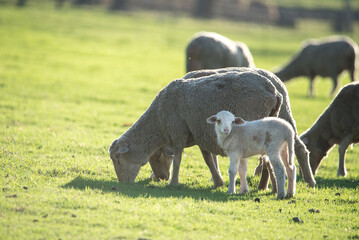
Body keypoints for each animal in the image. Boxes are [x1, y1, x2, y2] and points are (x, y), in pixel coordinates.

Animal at [108, 70, 282, 187]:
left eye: (118, 158)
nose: (122, 183)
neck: (158, 121)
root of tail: (273, 92)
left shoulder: (178, 131)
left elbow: (178, 158)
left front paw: (173, 183)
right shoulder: (200, 132)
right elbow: (208, 160)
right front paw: (218, 182)